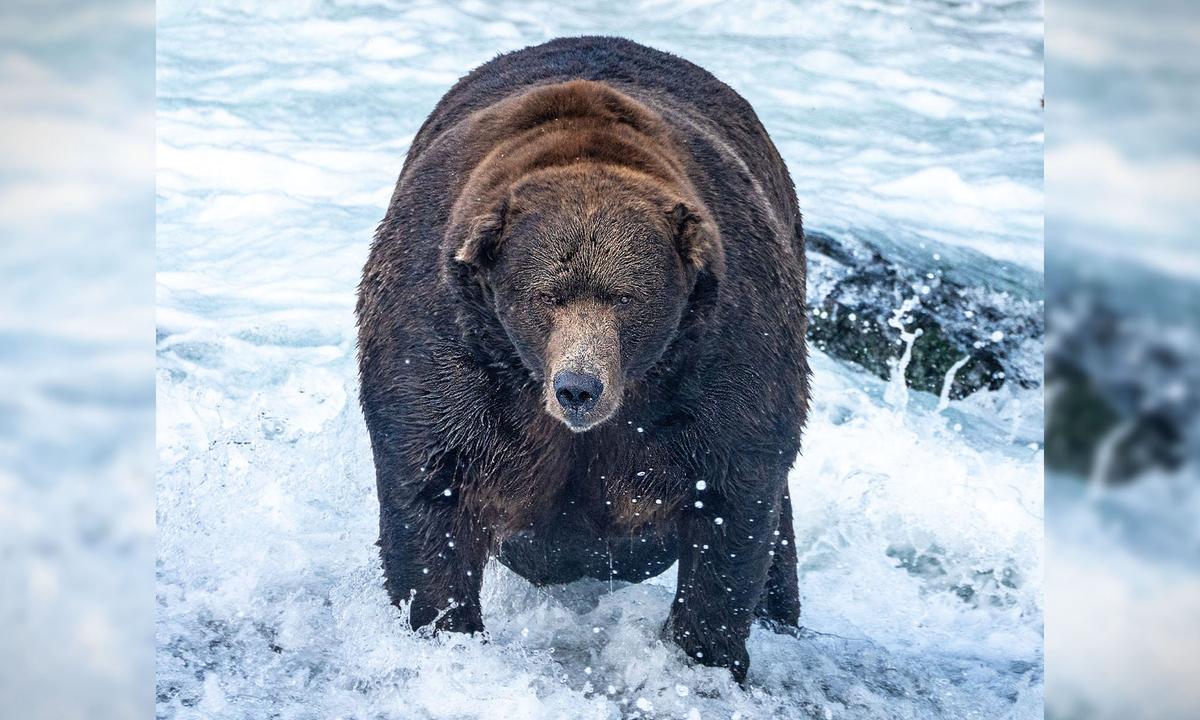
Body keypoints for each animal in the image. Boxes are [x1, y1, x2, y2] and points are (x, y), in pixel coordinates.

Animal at [357, 36, 809, 682]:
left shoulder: (722, 349)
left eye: (625, 297)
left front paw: (706, 654)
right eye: (547, 294)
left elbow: (732, 500)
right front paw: (445, 625)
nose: (578, 387)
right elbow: (433, 484)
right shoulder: (449, 338)